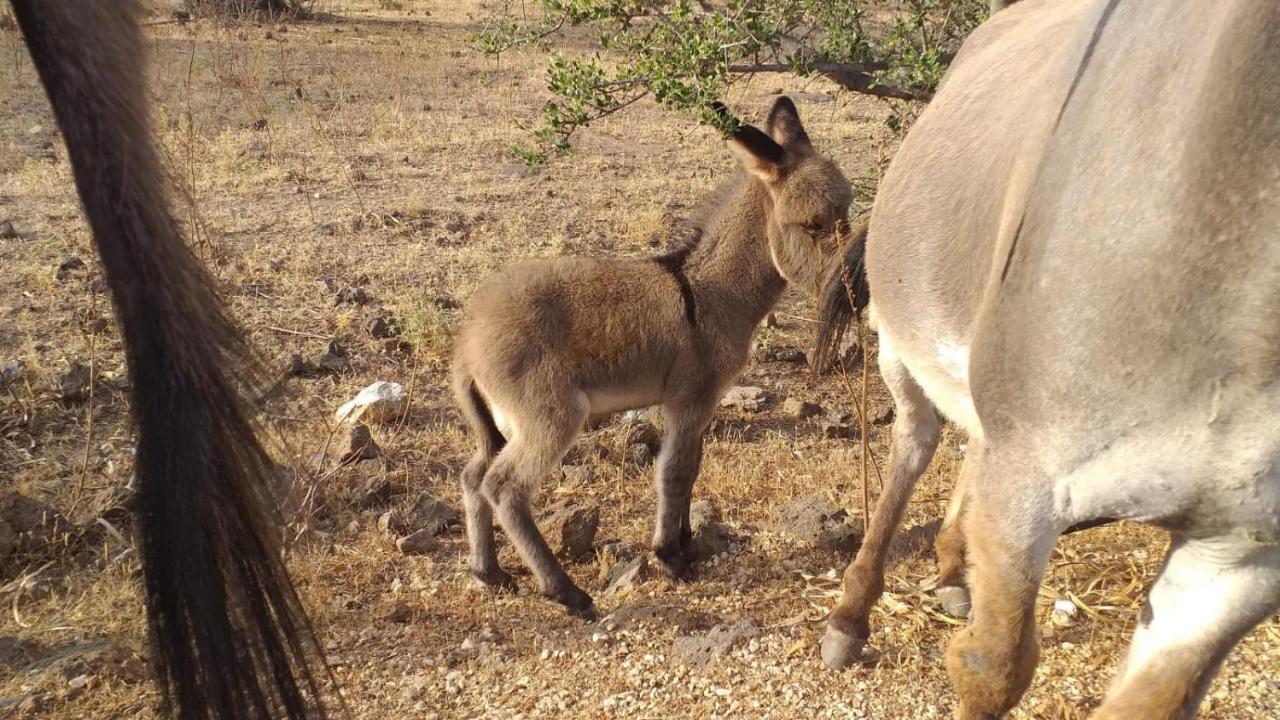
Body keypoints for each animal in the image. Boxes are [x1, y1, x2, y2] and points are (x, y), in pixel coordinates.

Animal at [450, 96, 849, 617]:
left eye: (848, 212)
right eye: (814, 225)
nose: (856, 285)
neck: (708, 290)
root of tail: (468, 343)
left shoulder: (700, 404)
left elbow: (692, 466)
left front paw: (689, 543)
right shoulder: (690, 399)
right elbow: (673, 472)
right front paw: (669, 557)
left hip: (500, 423)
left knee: (474, 475)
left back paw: (488, 572)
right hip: (550, 417)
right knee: (504, 487)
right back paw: (565, 591)